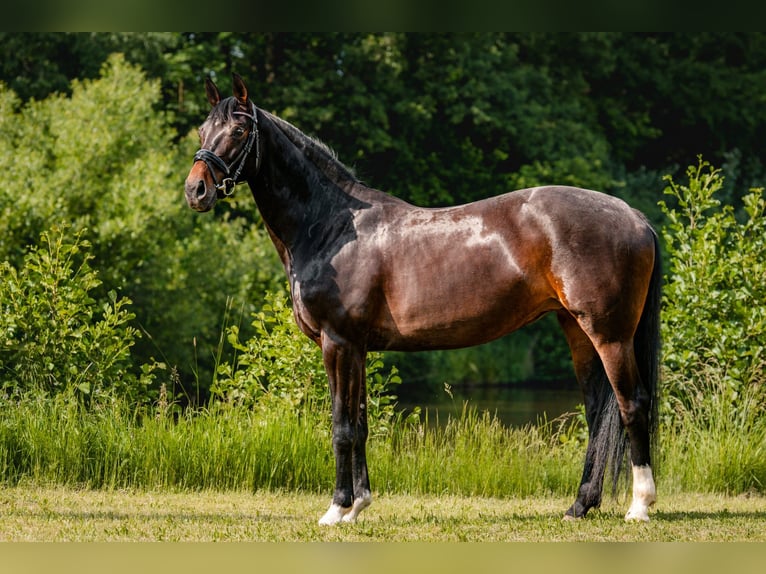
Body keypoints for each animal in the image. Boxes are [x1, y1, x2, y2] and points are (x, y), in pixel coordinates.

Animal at [184, 74, 661, 525]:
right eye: (203, 129)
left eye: (240, 130)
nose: (196, 190)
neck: (331, 226)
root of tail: (633, 215)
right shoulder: (357, 348)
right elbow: (360, 424)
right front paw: (358, 505)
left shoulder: (336, 343)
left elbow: (341, 427)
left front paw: (337, 509)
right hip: (577, 330)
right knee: (597, 412)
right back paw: (580, 505)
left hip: (610, 335)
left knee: (632, 404)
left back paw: (639, 505)